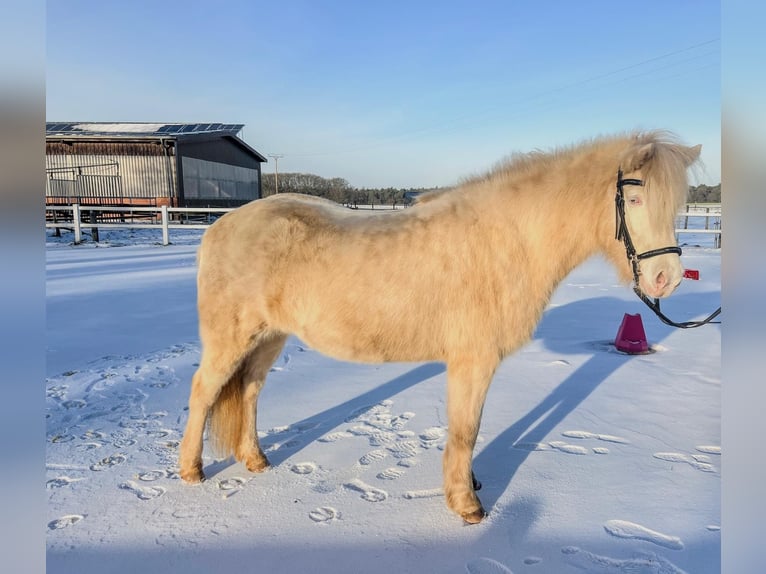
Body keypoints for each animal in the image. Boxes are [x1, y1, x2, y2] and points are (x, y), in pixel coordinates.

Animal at [178, 130, 701, 524]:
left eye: (676, 204)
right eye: (634, 197)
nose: (666, 278)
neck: (506, 241)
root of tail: (219, 227)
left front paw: (469, 487)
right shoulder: (473, 361)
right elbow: (466, 430)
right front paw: (467, 505)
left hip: (268, 337)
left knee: (248, 390)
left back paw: (255, 460)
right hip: (232, 337)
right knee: (205, 389)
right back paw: (191, 471)